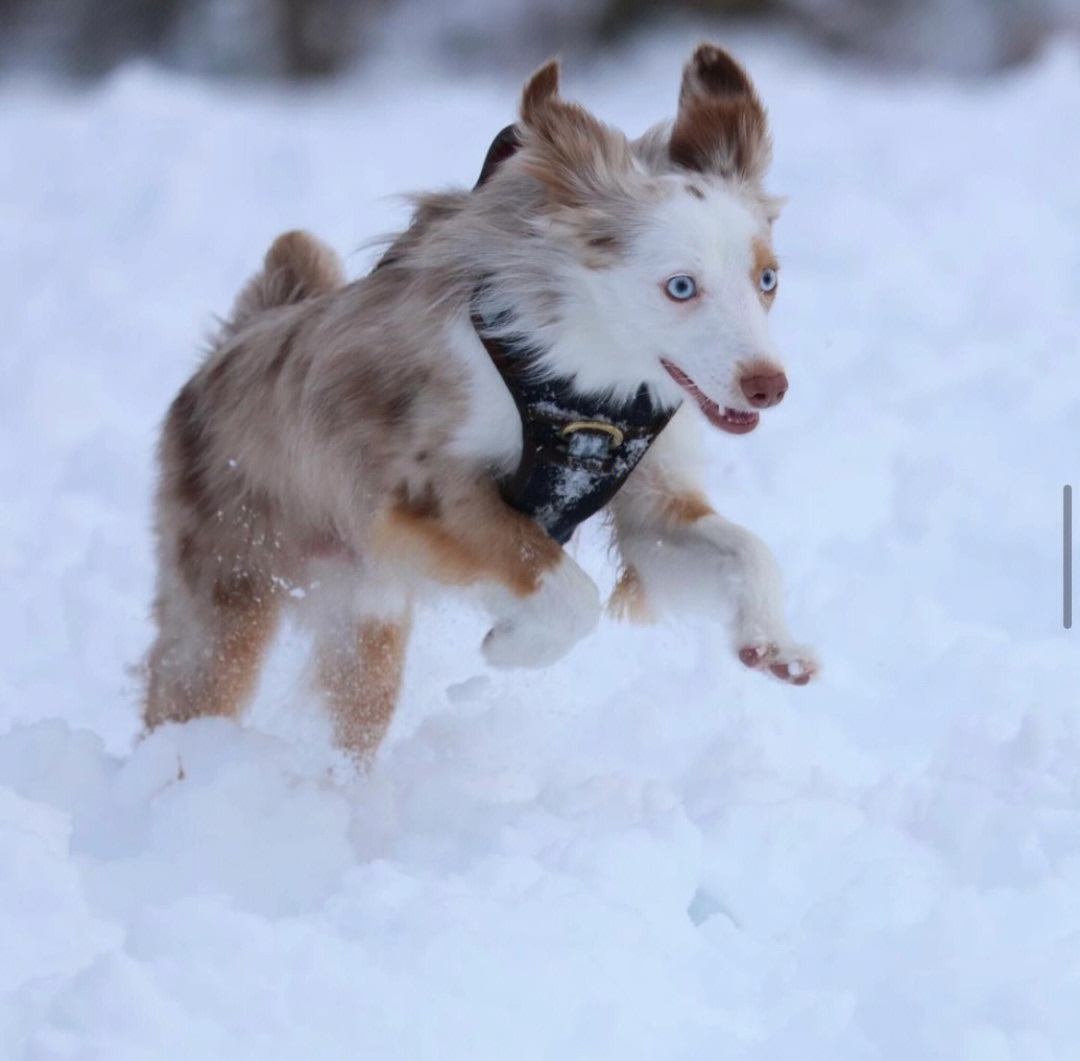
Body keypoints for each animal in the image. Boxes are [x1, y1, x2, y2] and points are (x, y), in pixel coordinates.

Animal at [143, 45, 816, 760]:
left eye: (766, 279)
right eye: (681, 286)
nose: (768, 385)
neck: (588, 376)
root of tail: (227, 348)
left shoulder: (647, 504)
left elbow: (747, 548)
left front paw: (771, 642)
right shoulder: (428, 494)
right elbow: (567, 590)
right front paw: (515, 646)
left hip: (364, 616)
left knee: (352, 725)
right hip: (228, 595)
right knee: (182, 697)